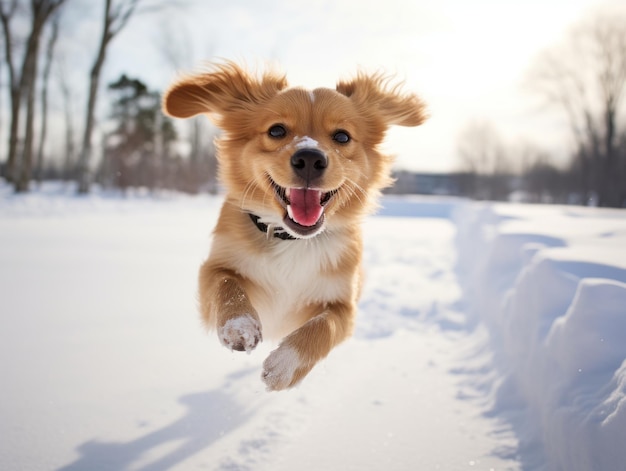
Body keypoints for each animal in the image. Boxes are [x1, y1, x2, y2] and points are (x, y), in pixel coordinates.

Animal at [161, 61, 426, 390]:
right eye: (276, 130)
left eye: (342, 137)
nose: (310, 158)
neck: (294, 239)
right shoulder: (215, 267)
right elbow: (227, 284)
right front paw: (239, 326)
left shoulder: (344, 305)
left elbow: (324, 327)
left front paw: (286, 364)